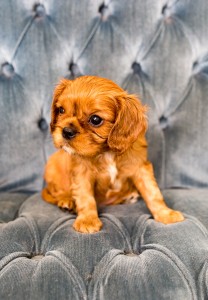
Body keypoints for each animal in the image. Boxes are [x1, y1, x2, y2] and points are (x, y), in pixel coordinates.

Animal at [41, 74, 184, 232]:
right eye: (61, 110)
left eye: (95, 119)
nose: (66, 131)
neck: (106, 152)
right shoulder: (81, 172)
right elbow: (85, 196)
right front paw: (87, 220)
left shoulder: (140, 167)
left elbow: (153, 192)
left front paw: (165, 214)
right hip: (52, 165)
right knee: (56, 191)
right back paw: (67, 201)